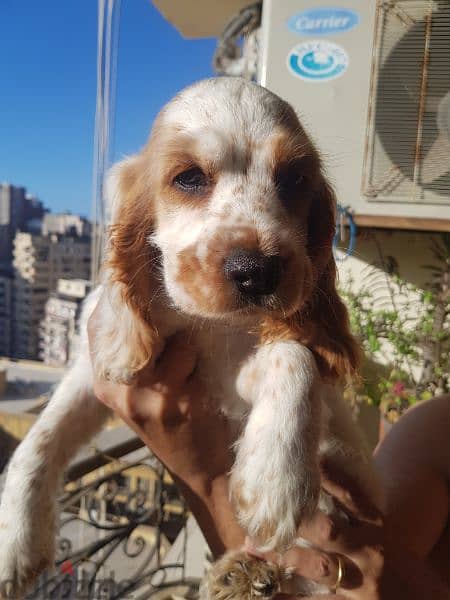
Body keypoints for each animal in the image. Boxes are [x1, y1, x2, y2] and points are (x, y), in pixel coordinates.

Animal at [0, 77, 382, 596]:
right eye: (189, 178)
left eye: (294, 180)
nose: (256, 272)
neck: (200, 324)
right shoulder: (95, 371)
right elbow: (41, 437)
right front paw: (14, 544)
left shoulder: (233, 374)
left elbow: (293, 354)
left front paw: (275, 482)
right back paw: (243, 574)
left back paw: (251, 570)